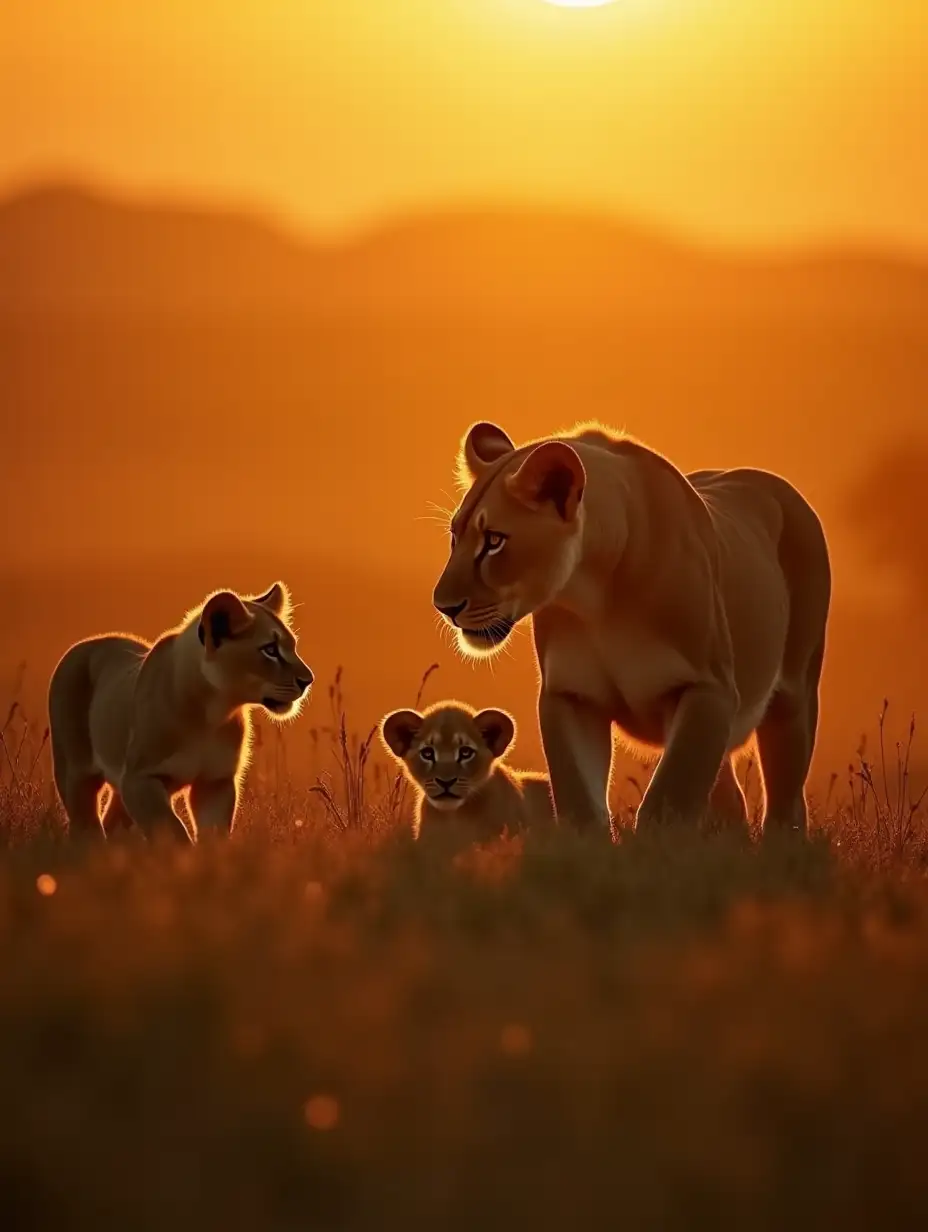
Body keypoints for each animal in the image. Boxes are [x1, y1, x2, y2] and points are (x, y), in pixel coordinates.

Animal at [48, 581, 311, 842]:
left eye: (292, 646)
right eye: (270, 650)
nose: (308, 680)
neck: (212, 712)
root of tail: (86, 643)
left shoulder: (215, 781)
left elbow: (213, 834)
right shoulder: (138, 778)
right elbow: (172, 830)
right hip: (74, 773)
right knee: (86, 824)